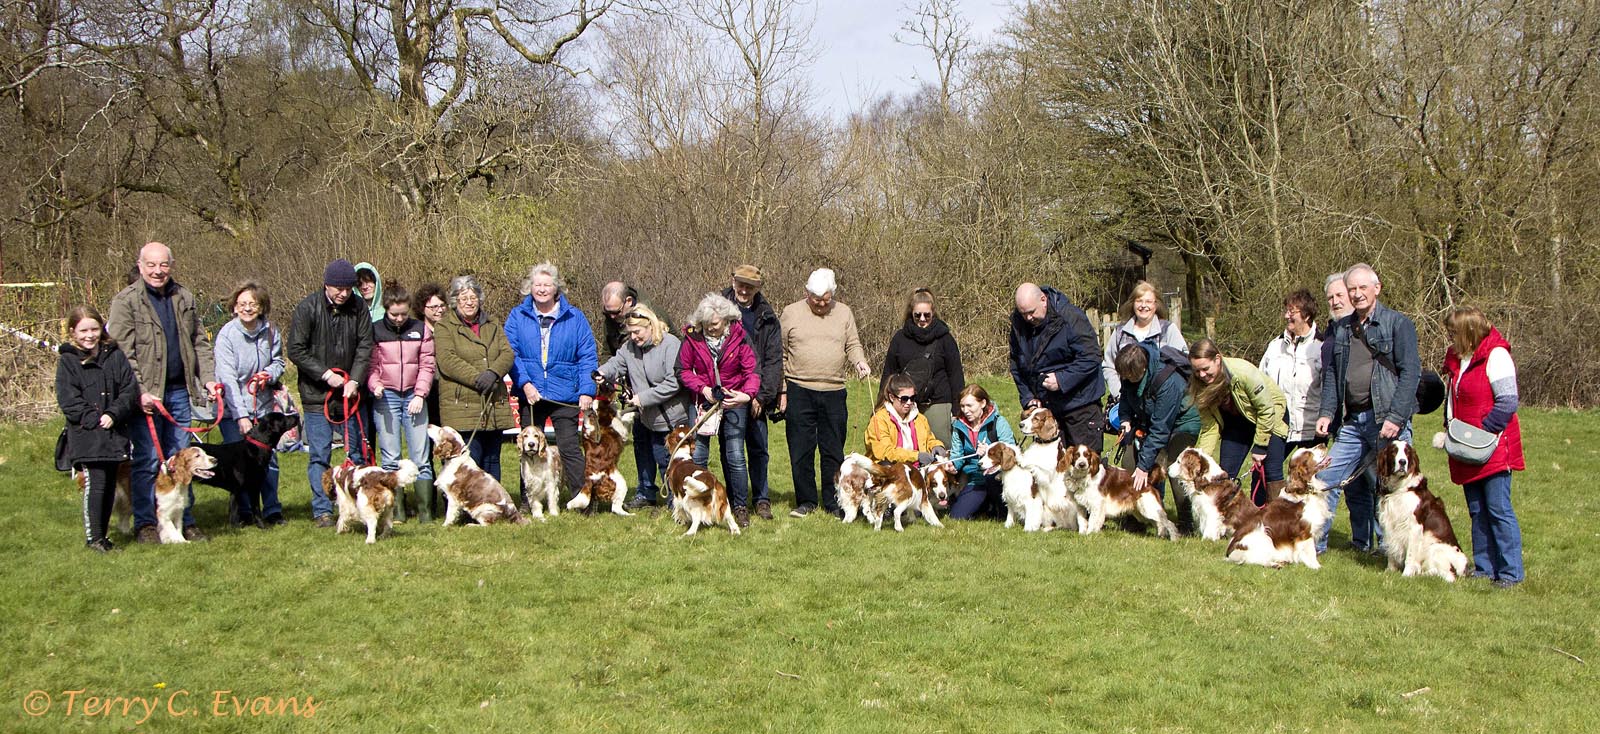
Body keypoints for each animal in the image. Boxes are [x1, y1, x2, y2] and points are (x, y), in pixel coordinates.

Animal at [1376, 440, 1469, 581]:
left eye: (1407, 452)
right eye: (1393, 451)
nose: (1402, 462)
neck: (1401, 488)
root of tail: (1463, 569)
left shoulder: (1414, 527)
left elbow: (1410, 555)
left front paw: (1406, 574)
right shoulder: (1390, 523)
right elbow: (1391, 551)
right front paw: (1389, 571)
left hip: (1435, 547)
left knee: (1448, 576)